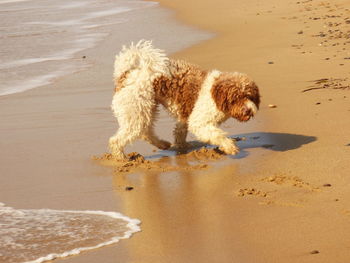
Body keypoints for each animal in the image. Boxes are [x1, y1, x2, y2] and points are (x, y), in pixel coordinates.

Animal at [109, 40, 260, 160]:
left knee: (146, 132)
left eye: (250, 96)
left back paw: (162, 144)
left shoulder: (185, 117)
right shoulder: (198, 122)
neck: (215, 95)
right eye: (236, 98)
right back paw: (121, 158)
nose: (248, 110)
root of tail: (125, 74)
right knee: (117, 140)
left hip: (145, 110)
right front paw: (229, 146)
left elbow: (179, 132)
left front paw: (183, 146)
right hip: (136, 111)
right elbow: (217, 135)